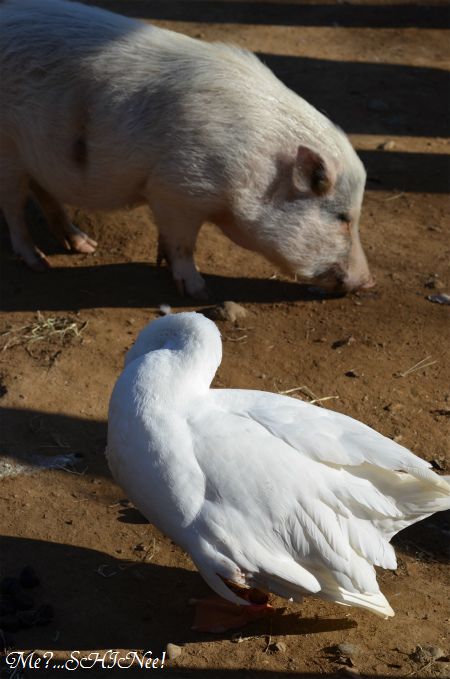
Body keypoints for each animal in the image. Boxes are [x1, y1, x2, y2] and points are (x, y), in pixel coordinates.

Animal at [0, 0, 372, 298]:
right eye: (342, 218)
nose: (369, 282)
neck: (250, 165)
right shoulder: (175, 190)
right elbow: (183, 245)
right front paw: (197, 291)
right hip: (7, 153)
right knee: (13, 210)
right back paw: (39, 264)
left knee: (43, 193)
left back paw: (85, 246)